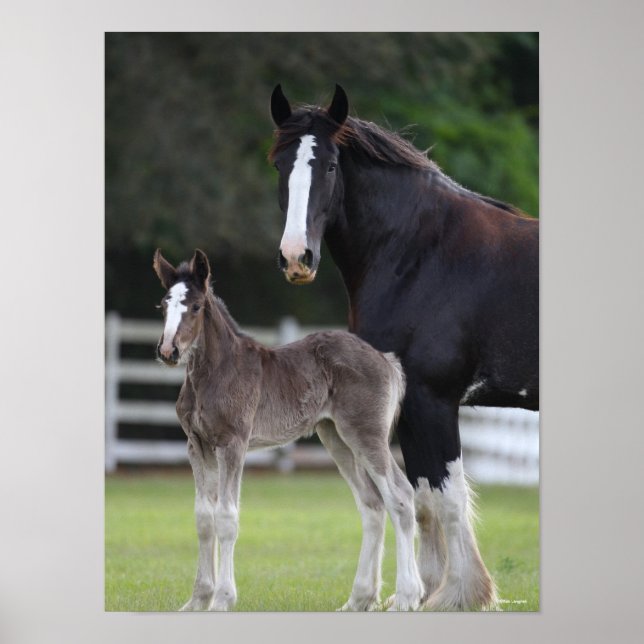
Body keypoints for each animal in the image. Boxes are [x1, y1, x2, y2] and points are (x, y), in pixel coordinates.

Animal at [153, 248, 424, 611]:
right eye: (164, 305)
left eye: (195, 306)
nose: (168, 351)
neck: (214, 372)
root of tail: (386, 359)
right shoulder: (197, 446)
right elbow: (203, 518)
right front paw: (198, 600)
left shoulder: (233, 444)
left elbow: (226, 518)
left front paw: (223, 599)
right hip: (336, 437)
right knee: (372, 505)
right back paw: (358, 600)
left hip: (367, 435)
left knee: (400, 496)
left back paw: (407, 596)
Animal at [269, 84, 539, 610]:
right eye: (279, 164)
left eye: (330, 165)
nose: (296, 258)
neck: (422, 253)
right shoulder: (412, 406)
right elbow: (425, 499)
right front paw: (428, 591)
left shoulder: (433, 400)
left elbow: (446, 497)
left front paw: (456, 594)